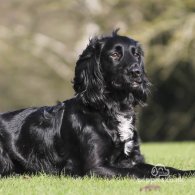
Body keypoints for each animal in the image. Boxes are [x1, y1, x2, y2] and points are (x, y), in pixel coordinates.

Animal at [0, 30, 195, 178]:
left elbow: (162, 168)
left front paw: (187, 173)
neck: (112, 108)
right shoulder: (95, 167)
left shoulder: (131, 158)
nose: (136, 72)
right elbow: (137, 173)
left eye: (136, 54)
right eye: (115, 54)